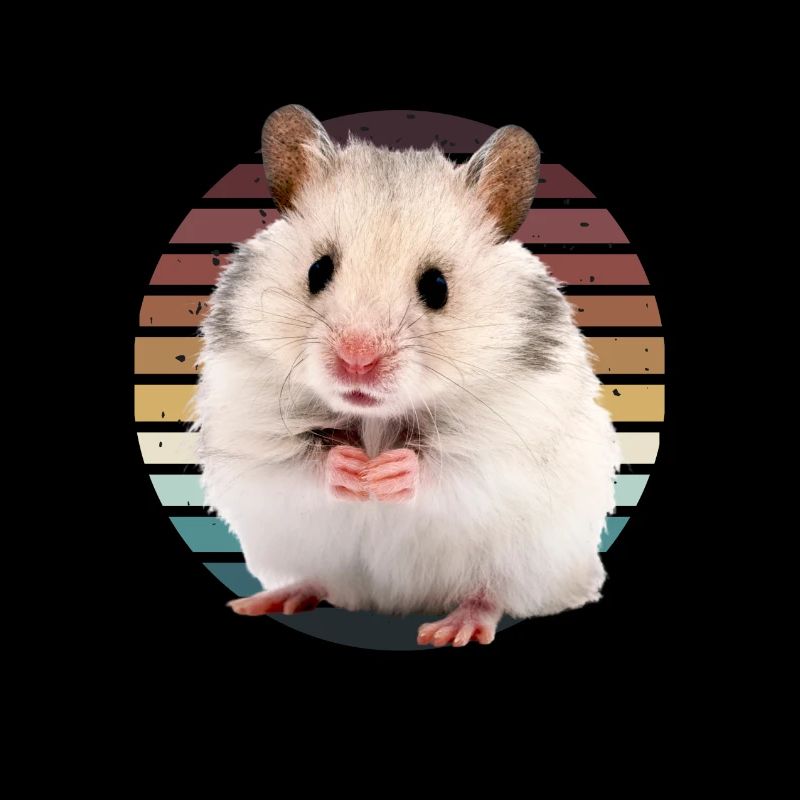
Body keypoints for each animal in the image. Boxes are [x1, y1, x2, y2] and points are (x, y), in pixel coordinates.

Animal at [196, 105, 620, 647]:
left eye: (437, 286)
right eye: (317, 270)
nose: (357, 360)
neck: (376, 419)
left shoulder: (507, 449)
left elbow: (451, 469)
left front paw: (387, 473)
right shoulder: (251, 437)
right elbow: (296, 465)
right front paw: (352, 469)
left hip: (533, 560)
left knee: (492, 593)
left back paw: (452, 629)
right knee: (319, 579)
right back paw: (266, 599)